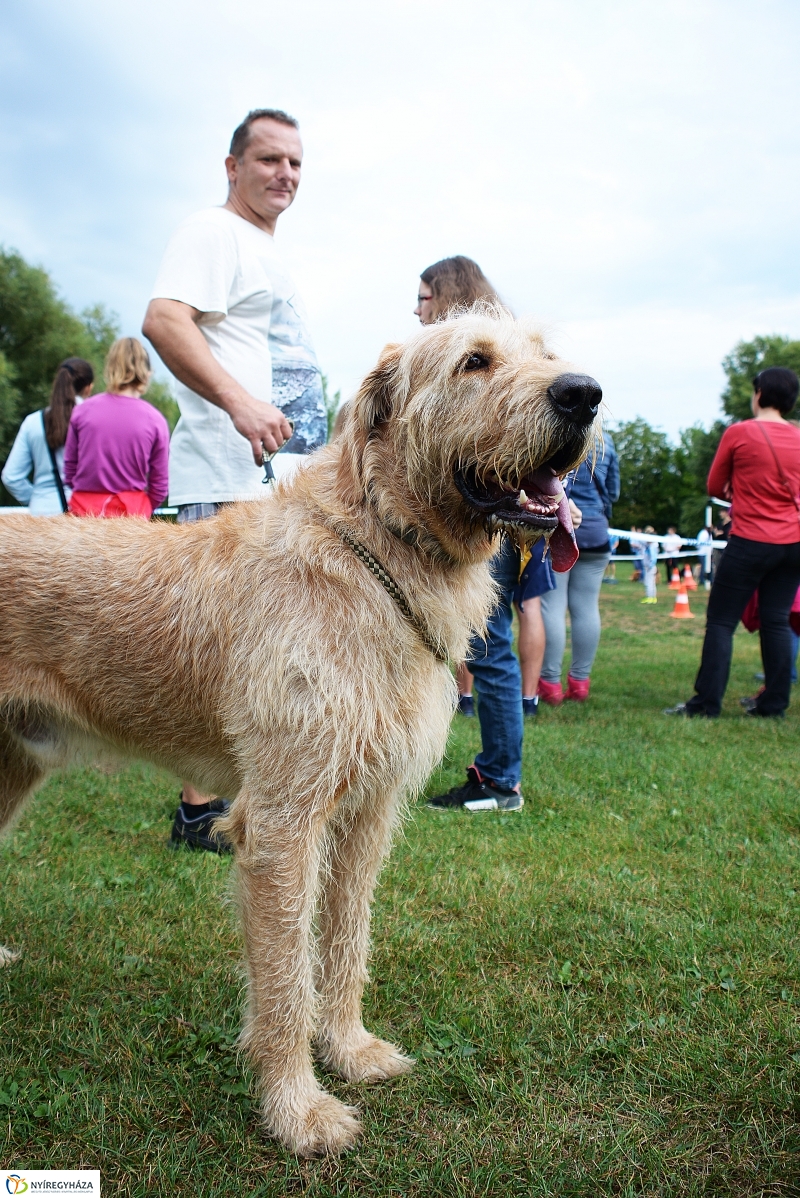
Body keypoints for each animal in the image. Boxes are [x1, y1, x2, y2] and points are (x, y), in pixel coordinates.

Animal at [0, 309, 598, 1150]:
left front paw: (348, 1050)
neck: (380, 550)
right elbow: (286, 975)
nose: (583, 392)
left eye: (547, 354)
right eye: (473, 362)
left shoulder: (367, 813)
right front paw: (297, 1107)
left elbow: (345, 940)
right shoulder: (282, 821)